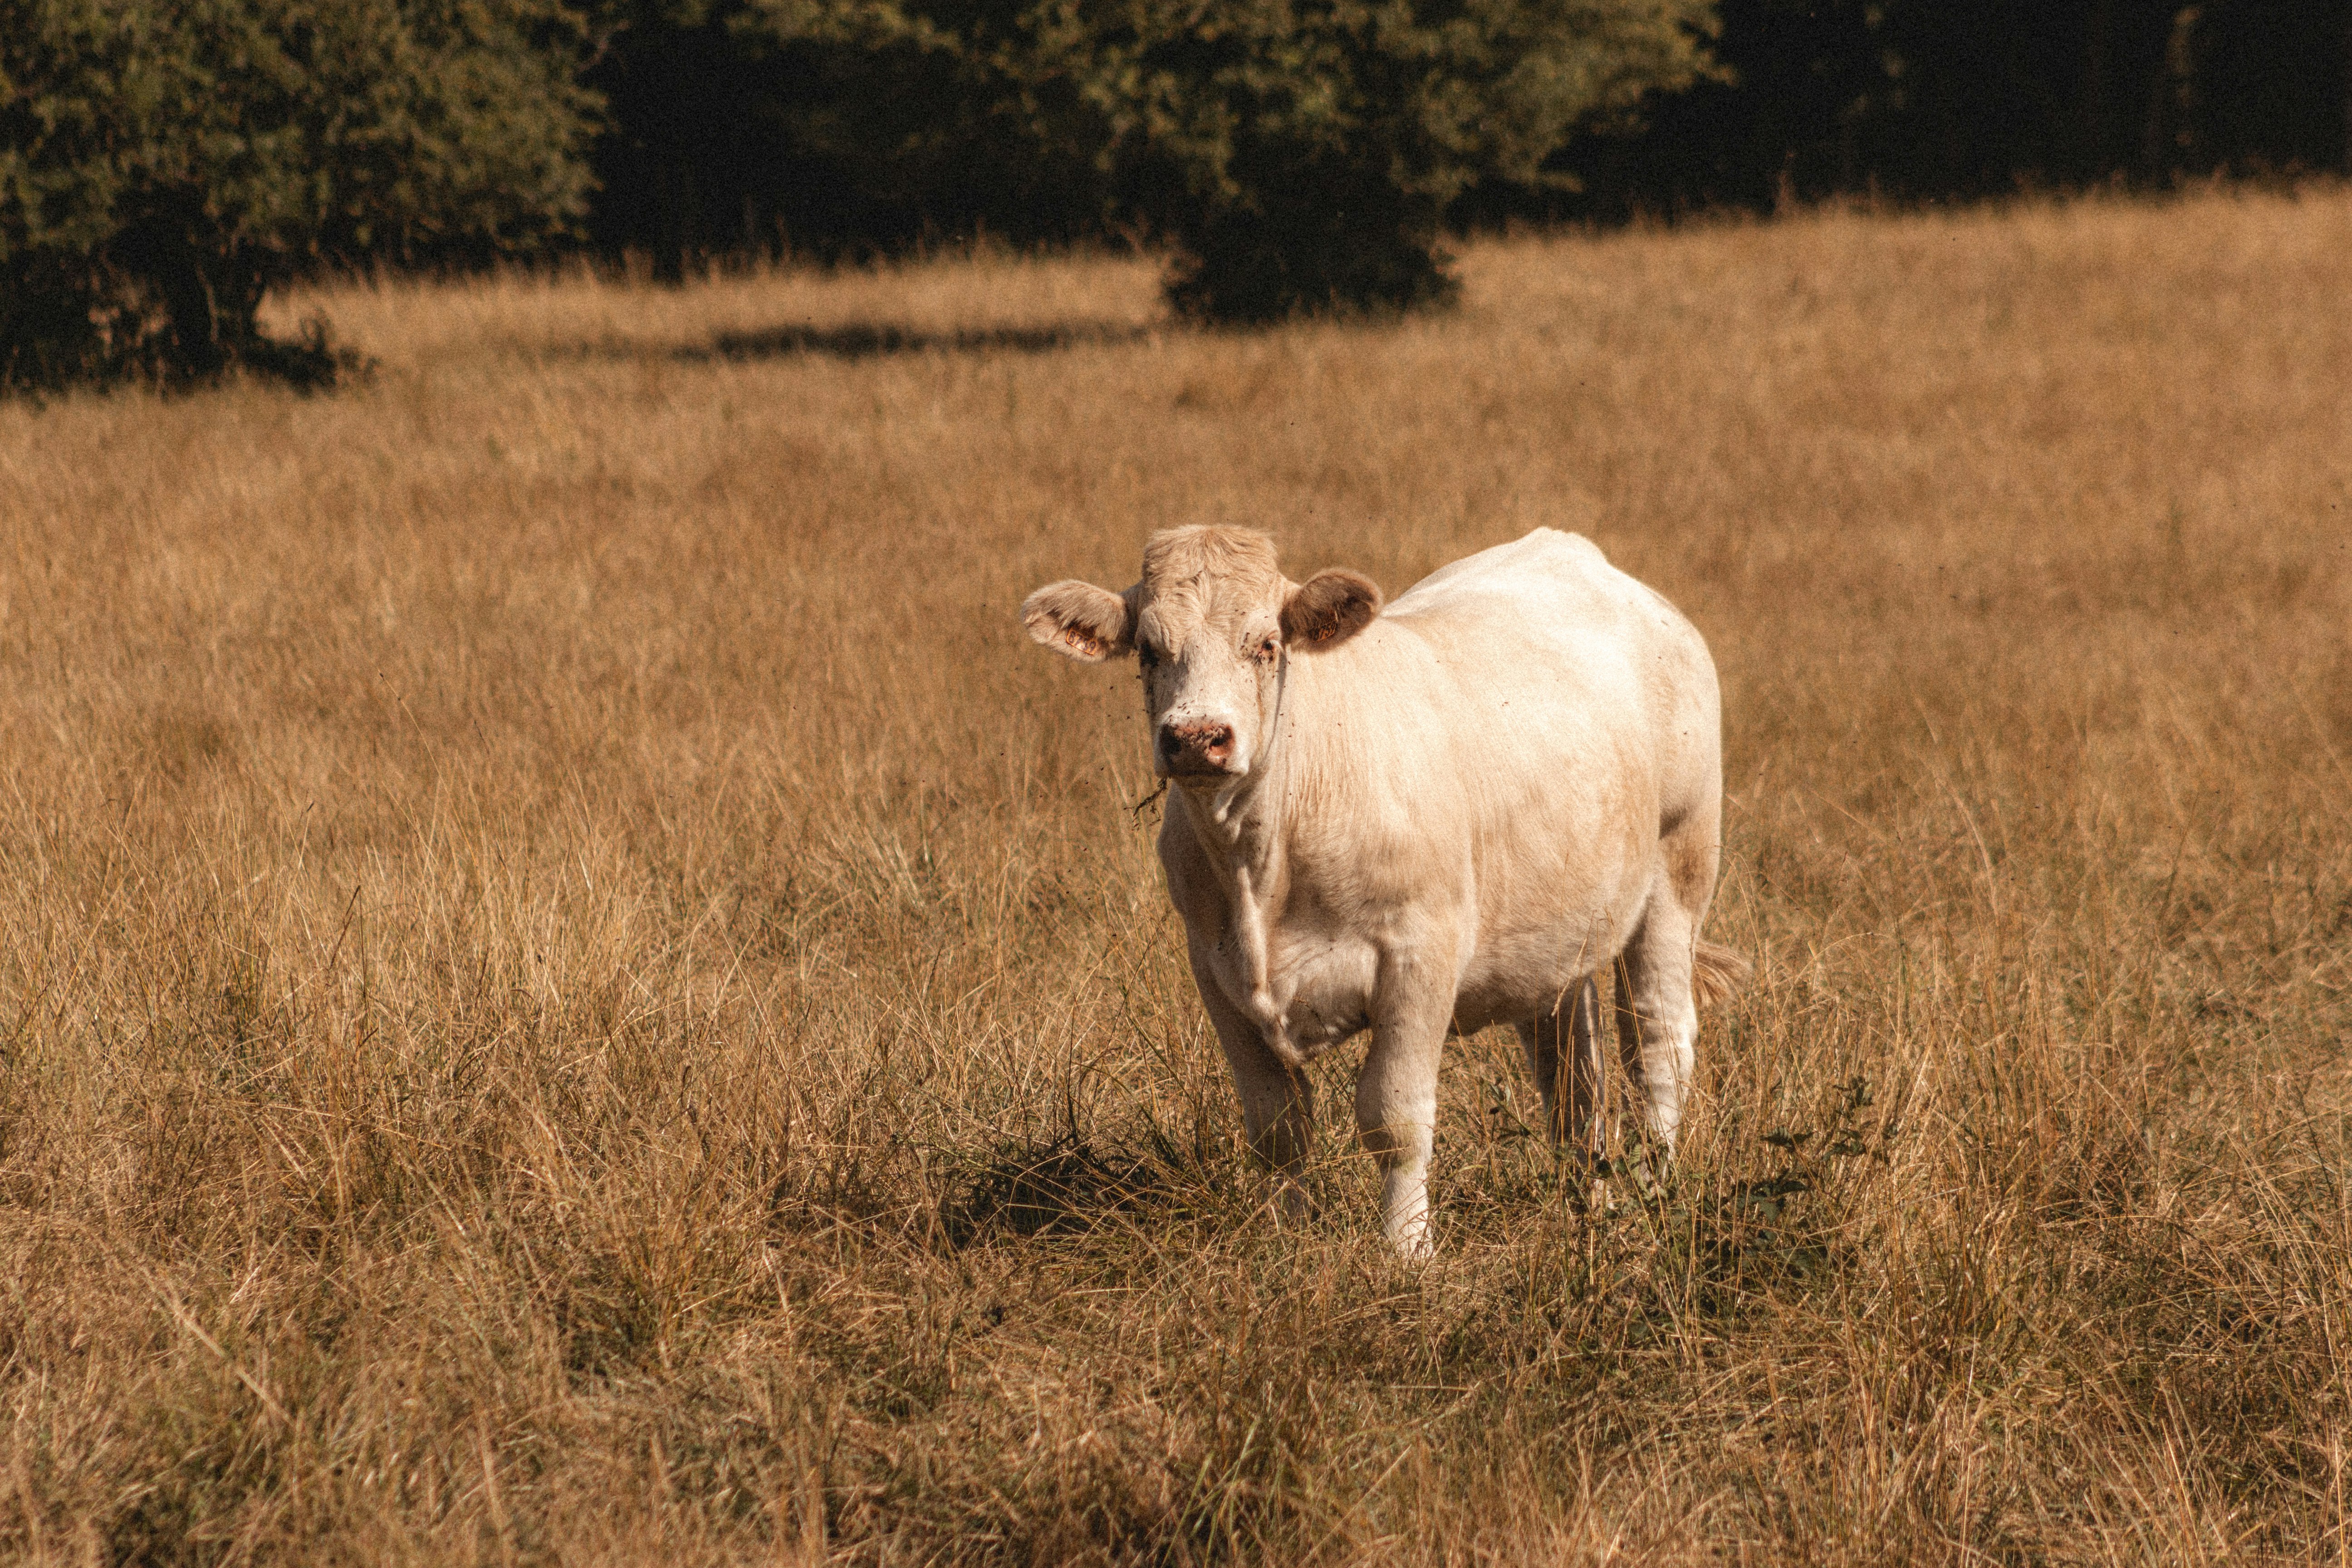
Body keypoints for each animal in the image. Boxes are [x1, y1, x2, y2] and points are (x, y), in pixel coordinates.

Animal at [1020, 524, 1740, 1250]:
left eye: (1267, 644)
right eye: (1148, 650)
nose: (1198, 738)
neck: (1263, 860)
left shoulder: (1420, 955)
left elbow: (1394, 1118)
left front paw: (1406, 1249)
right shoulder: (1214, 971)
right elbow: (1277, 1128)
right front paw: (1286, 1243)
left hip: (1679, 874)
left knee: (1656, 1044)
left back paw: (1651, 1195)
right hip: (1556, 934)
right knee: (1571, 1071)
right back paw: (1590, 1200)